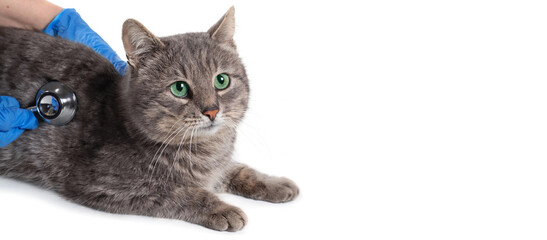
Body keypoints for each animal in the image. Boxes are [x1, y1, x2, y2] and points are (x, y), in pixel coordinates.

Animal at [0, 7, 300, 231]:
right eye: (179, 88)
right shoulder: (106, 184)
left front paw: (274, 183)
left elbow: (239, 169)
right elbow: (181, 192)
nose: (212, 111)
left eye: (222, 81)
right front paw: (221, 208)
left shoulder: (219, 164)